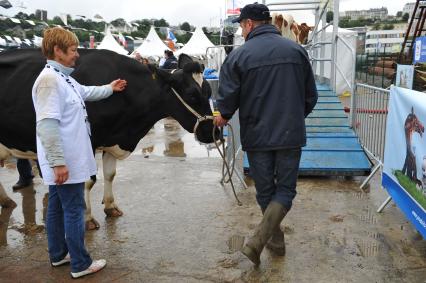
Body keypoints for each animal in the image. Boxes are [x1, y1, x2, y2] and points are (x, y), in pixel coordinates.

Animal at [0, 49, 218, 231]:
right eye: (191, 95)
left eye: (209, 91)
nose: (213, 132)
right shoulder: (88, 142)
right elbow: (88, 181)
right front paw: (87, 218)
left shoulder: (112, 139)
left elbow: (110, 174)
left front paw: (111, 207)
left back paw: (6, 201)